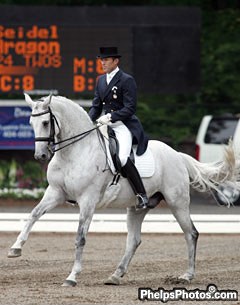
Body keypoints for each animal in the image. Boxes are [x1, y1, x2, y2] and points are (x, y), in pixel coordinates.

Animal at [7, 94, 240, 286]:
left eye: (46, 122)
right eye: (30, 123)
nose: (40, 156)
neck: (73, 153)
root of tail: (177, 154)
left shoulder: (88, 200)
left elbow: (80, 237)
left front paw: (72, 277)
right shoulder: (55, 193)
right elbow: (33, 214)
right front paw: (15, 249)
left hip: (177, 203)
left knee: (191, 233)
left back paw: (187, 276)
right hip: (137, 208)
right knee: (134, 240)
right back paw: (115, 275)